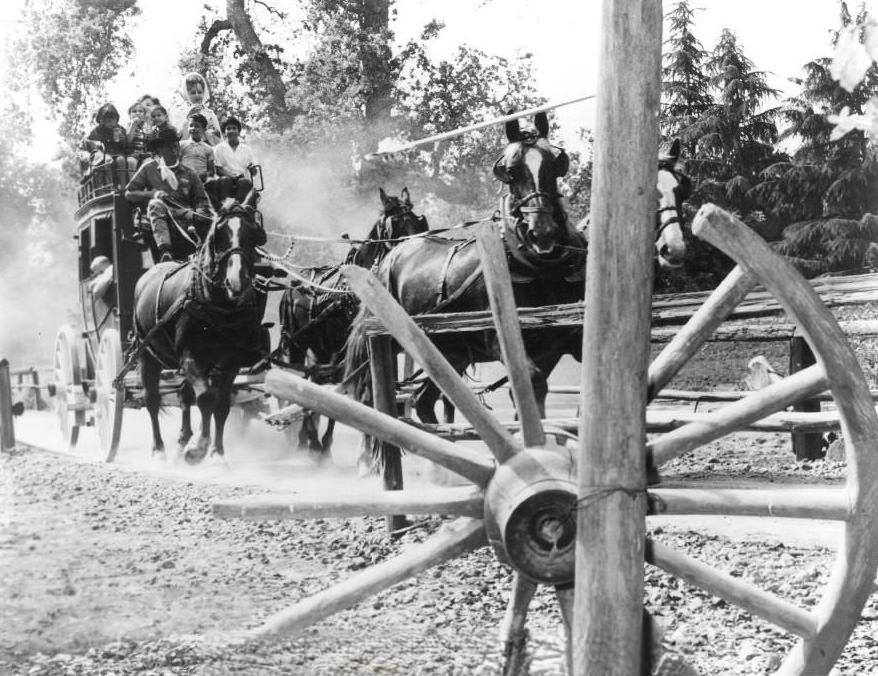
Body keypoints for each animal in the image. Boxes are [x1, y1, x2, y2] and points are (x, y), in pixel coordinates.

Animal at [134, 193, 268, 462]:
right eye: (220, 233)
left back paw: (182, 438)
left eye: (252, 233)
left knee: (185, 397)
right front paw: (198, 447)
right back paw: (159, 449)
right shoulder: (190, 356)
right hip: (147, 355)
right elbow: (206, 398)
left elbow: (221, 405)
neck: (216, 304)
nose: (237, 281)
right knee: (152, 400)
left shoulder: (230, 361)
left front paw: (216, 453)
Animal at [278, 187, 430, 456]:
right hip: (298, 345)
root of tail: (293, 284)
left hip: (321, 349)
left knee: (316, 380)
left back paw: (312, 439)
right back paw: (308, 440)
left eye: (417, 220)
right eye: (396, 223)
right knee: (303, 381)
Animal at [346, 117, 696, 460]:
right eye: (510, 170)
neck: (538, 265)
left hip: (449, 352)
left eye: (682, 188)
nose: (543, 232)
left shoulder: (558, 345)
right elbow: (530, 390)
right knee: (377, 396)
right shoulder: (502, 341)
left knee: (422, 402)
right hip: (390, 342)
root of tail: (392, 254)